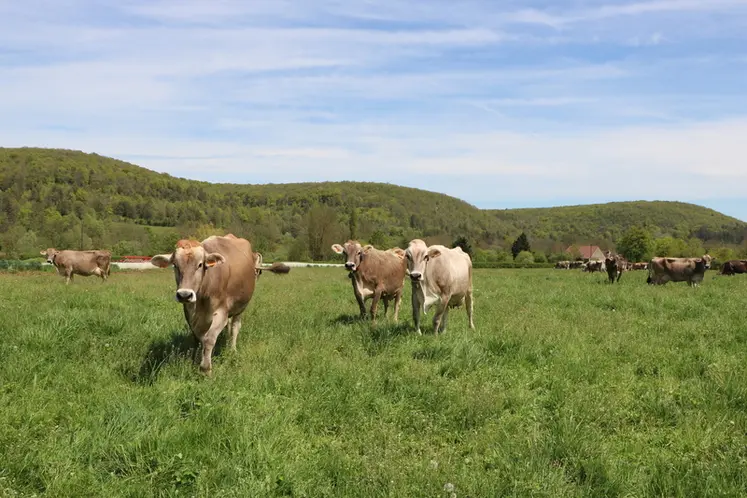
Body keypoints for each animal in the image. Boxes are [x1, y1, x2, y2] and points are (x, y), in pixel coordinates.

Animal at [150, 234, 286, 374]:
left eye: (200, 264)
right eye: (175, 265)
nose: (184, 294)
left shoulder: (221, 312)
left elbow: (209, 339)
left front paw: (205, 368)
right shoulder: (189, 313)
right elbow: (197, 338)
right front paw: (195, 360)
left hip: (240, 307)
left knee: (235, 327)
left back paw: (232, 350)